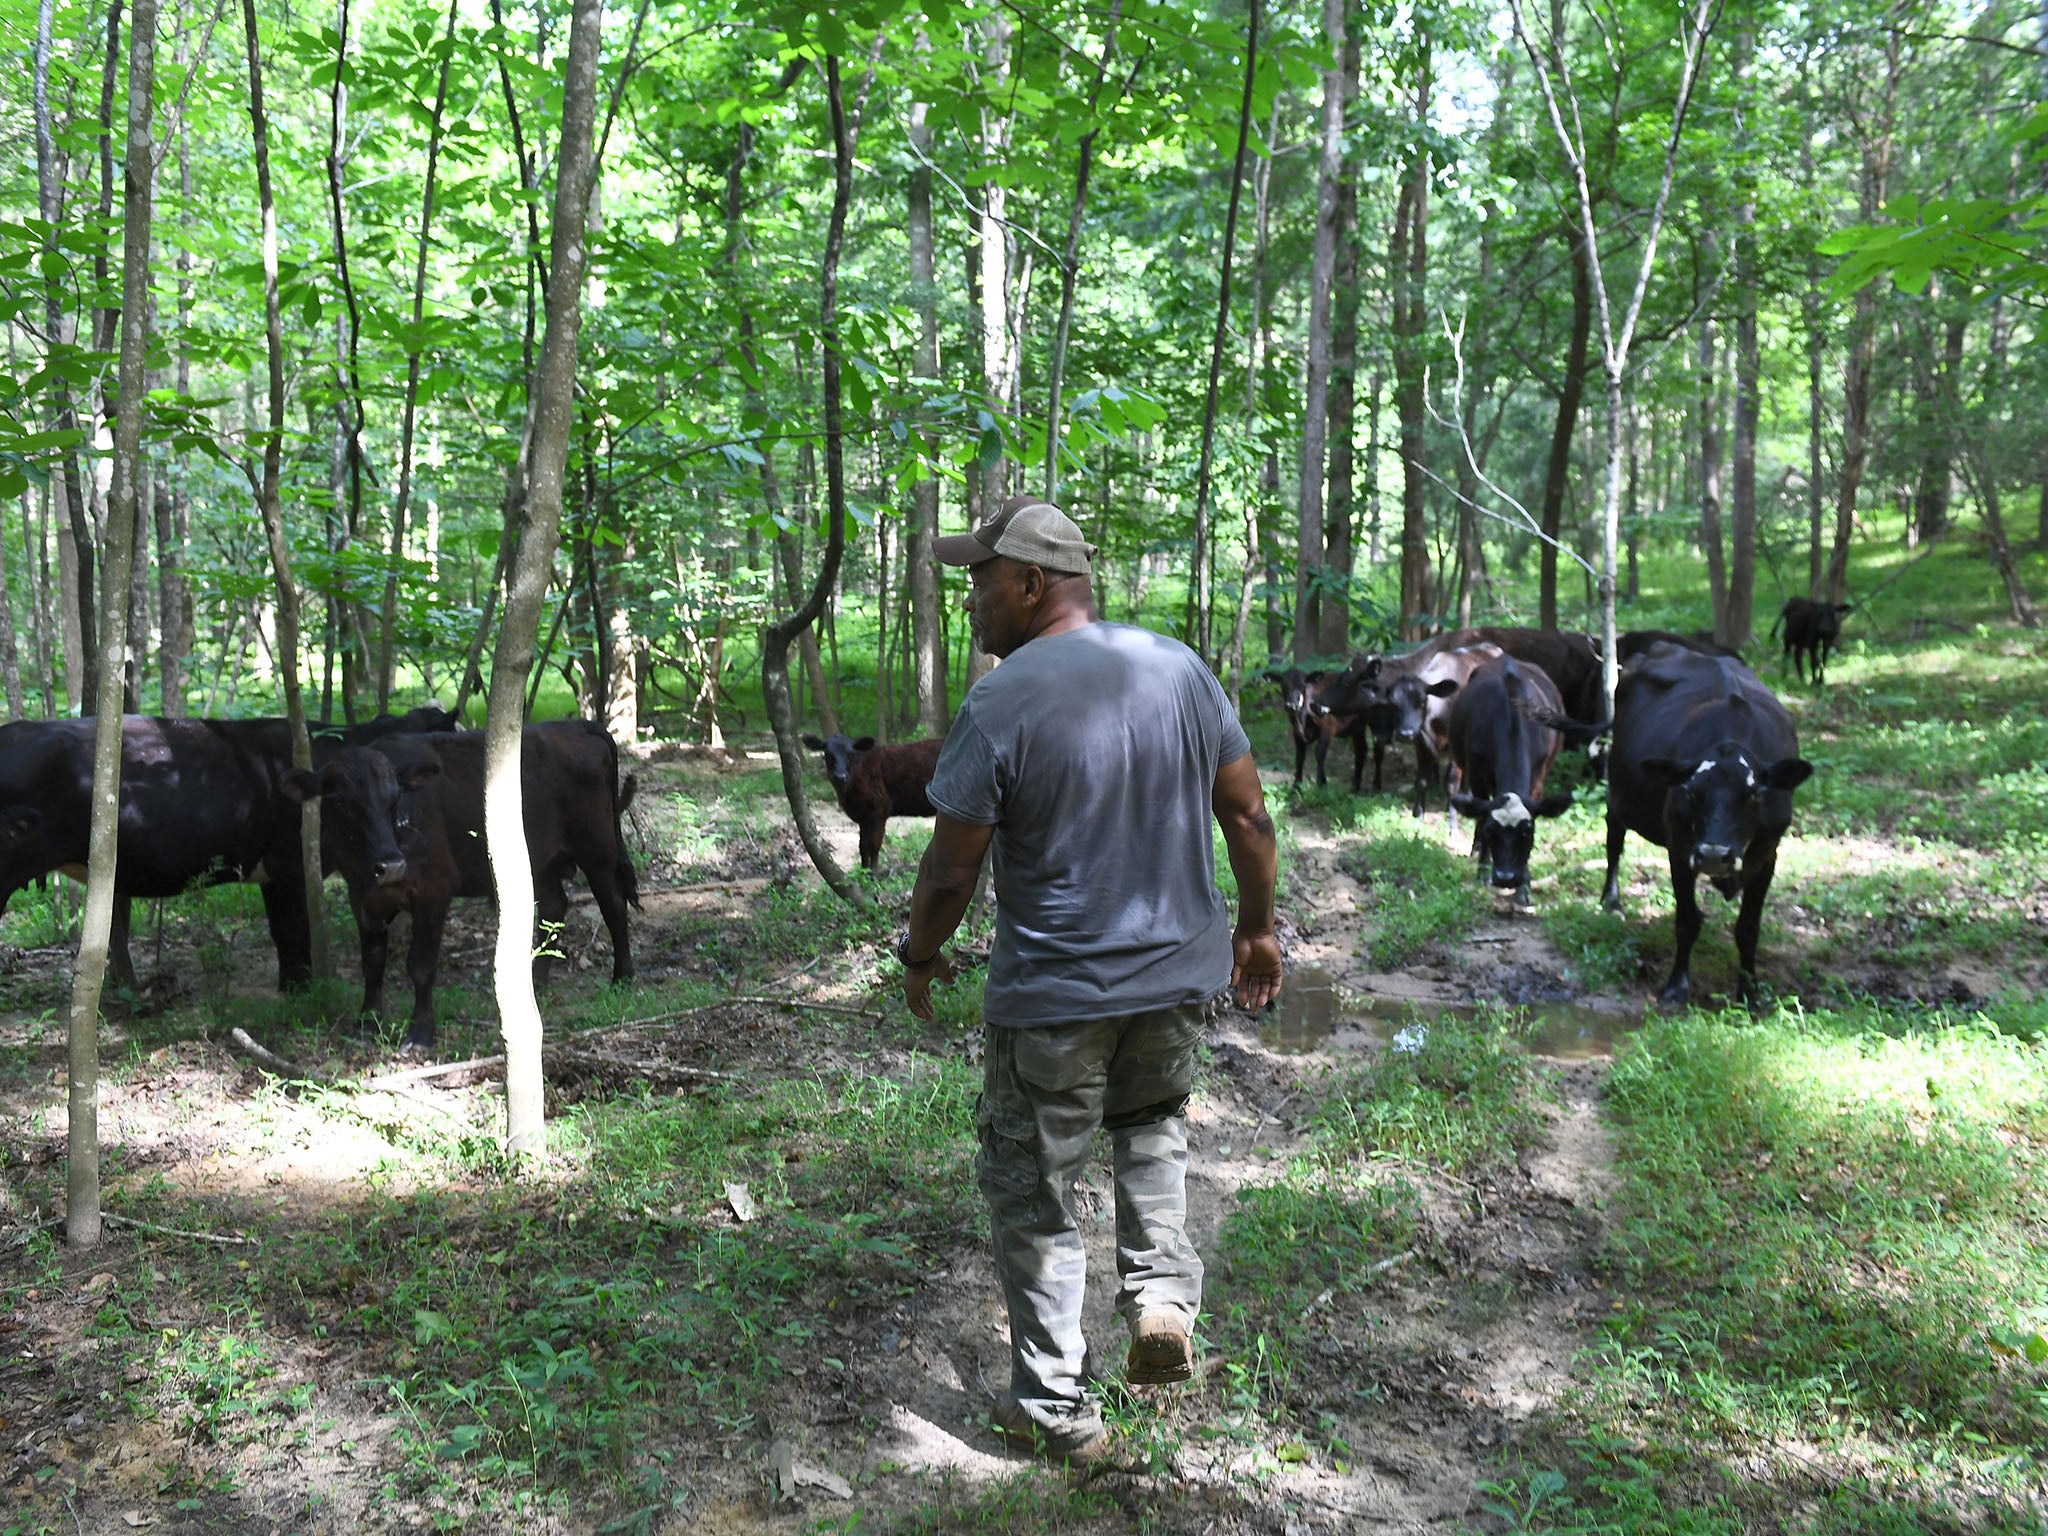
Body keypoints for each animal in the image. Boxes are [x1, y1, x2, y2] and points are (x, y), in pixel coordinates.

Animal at [311, 720, 638, 1056]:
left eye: (394, 800)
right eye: (341, 803)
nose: (390, 864)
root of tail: (577, 725)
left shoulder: (434, 891)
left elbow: (420, 965)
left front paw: (420, 1033)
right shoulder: (361, 898)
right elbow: (373, 962)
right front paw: (367, 1020)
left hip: (596, 847)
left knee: (613, 904)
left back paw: (622, 976)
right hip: (538, 860)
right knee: (554, 905)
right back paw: (536, 983)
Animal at [1441, 659, 1597, 901]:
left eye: (1528, 833)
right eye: (1491, 831)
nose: (1506, 878)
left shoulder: (1538, 778)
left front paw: (1524, 886)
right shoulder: (1477, 774)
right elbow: (1480, 815)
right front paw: (1483, 872)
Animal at [1597, 638, 1810, 1011]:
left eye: (1753, 793)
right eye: (1691, 792)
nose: (1713, 855)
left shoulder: (1768, 853)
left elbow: (1748, 929)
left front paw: (1749, 992)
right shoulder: (1681, 850)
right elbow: (1687, 921)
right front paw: (1676, 988)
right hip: (1616, 790)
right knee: (1614, 839)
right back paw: (1611, 900)